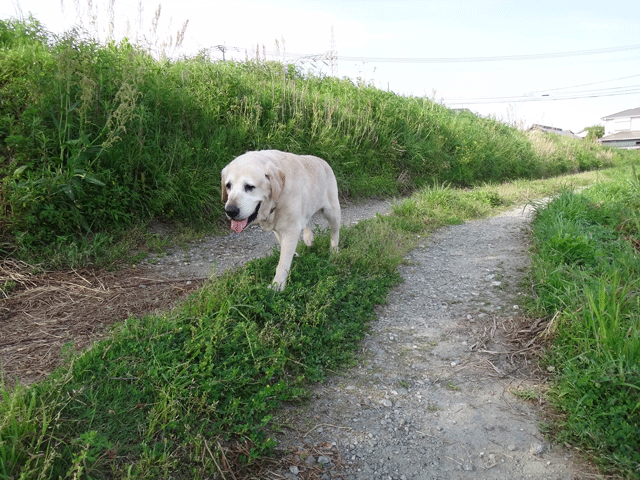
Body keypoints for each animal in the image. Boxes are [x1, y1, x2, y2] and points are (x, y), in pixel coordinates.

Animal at [220, 150, 340, 290]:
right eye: (228, 185)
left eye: (249, 186)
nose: (230, 210)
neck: (276, 200)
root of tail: (323, 161)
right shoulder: (278, 229)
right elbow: (283, 246)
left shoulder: (290, 230)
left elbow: (283, 263)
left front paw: (277, 286)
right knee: (306, 220)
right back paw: (308, 238)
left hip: (332, 211)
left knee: (335, 232)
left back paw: (334, 250)